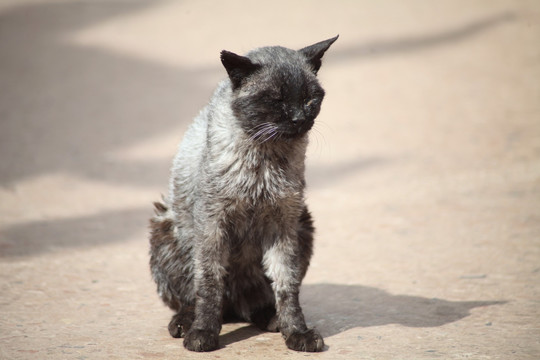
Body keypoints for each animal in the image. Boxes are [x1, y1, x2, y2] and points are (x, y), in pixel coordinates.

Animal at [150, 34, 338, 352]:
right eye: (276, 99)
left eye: (309, 98)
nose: (299, 118)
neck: (265, 159)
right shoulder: (212, 226)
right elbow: (209, 284)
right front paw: (203, 332)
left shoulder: (284, 226)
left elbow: (287, 286)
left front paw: (297, 332)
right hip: (165, 228)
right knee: (197, 297)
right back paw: (186, 321)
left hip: (304, 226)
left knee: (254, 301)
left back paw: (270, 317)